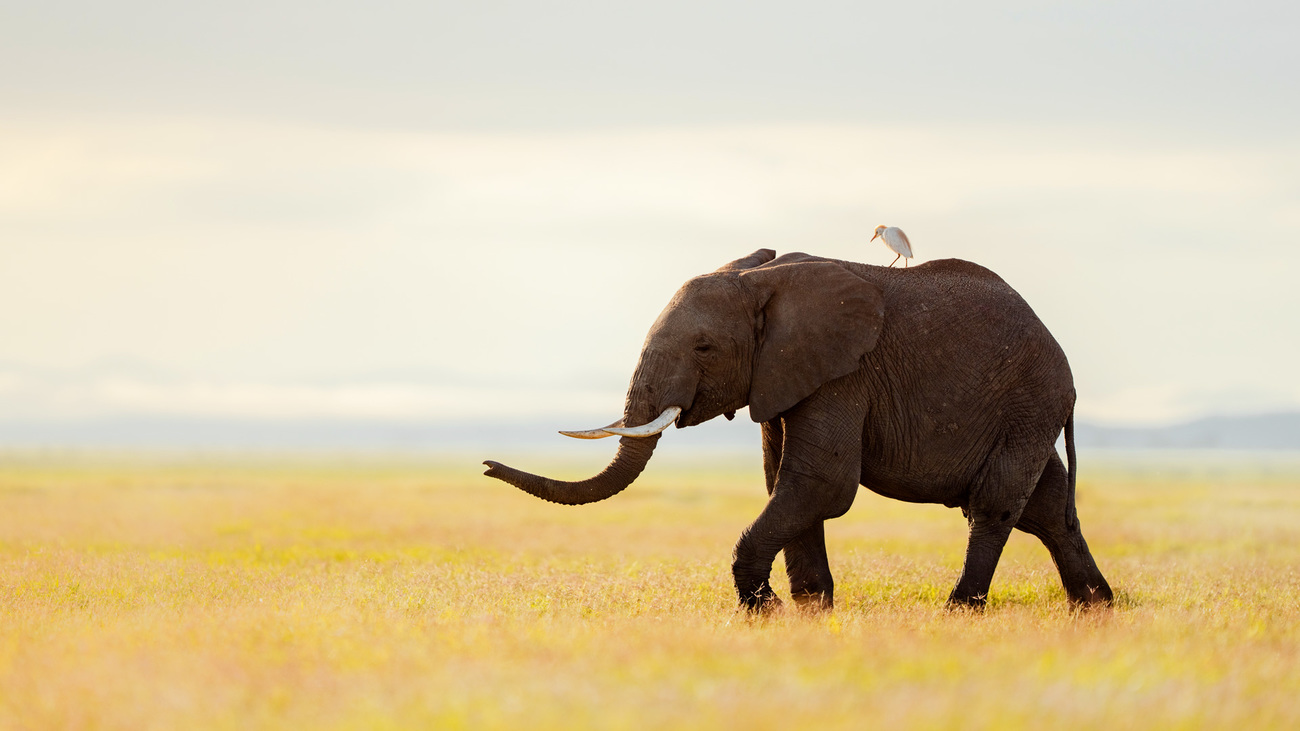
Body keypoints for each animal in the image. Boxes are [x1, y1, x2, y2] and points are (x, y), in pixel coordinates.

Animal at [483, 249, 1112, 608]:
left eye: (704, 347)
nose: (486, 466)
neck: (760, 280)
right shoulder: (783, 374)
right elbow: (785, 481)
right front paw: (810, 608)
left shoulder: (845, 372)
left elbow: (820, 483)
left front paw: (763, 608)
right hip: (1028, 411)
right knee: (1048, 509)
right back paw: (1097, 607)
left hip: (1029, 402)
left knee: (996, 505)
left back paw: (961, 609)